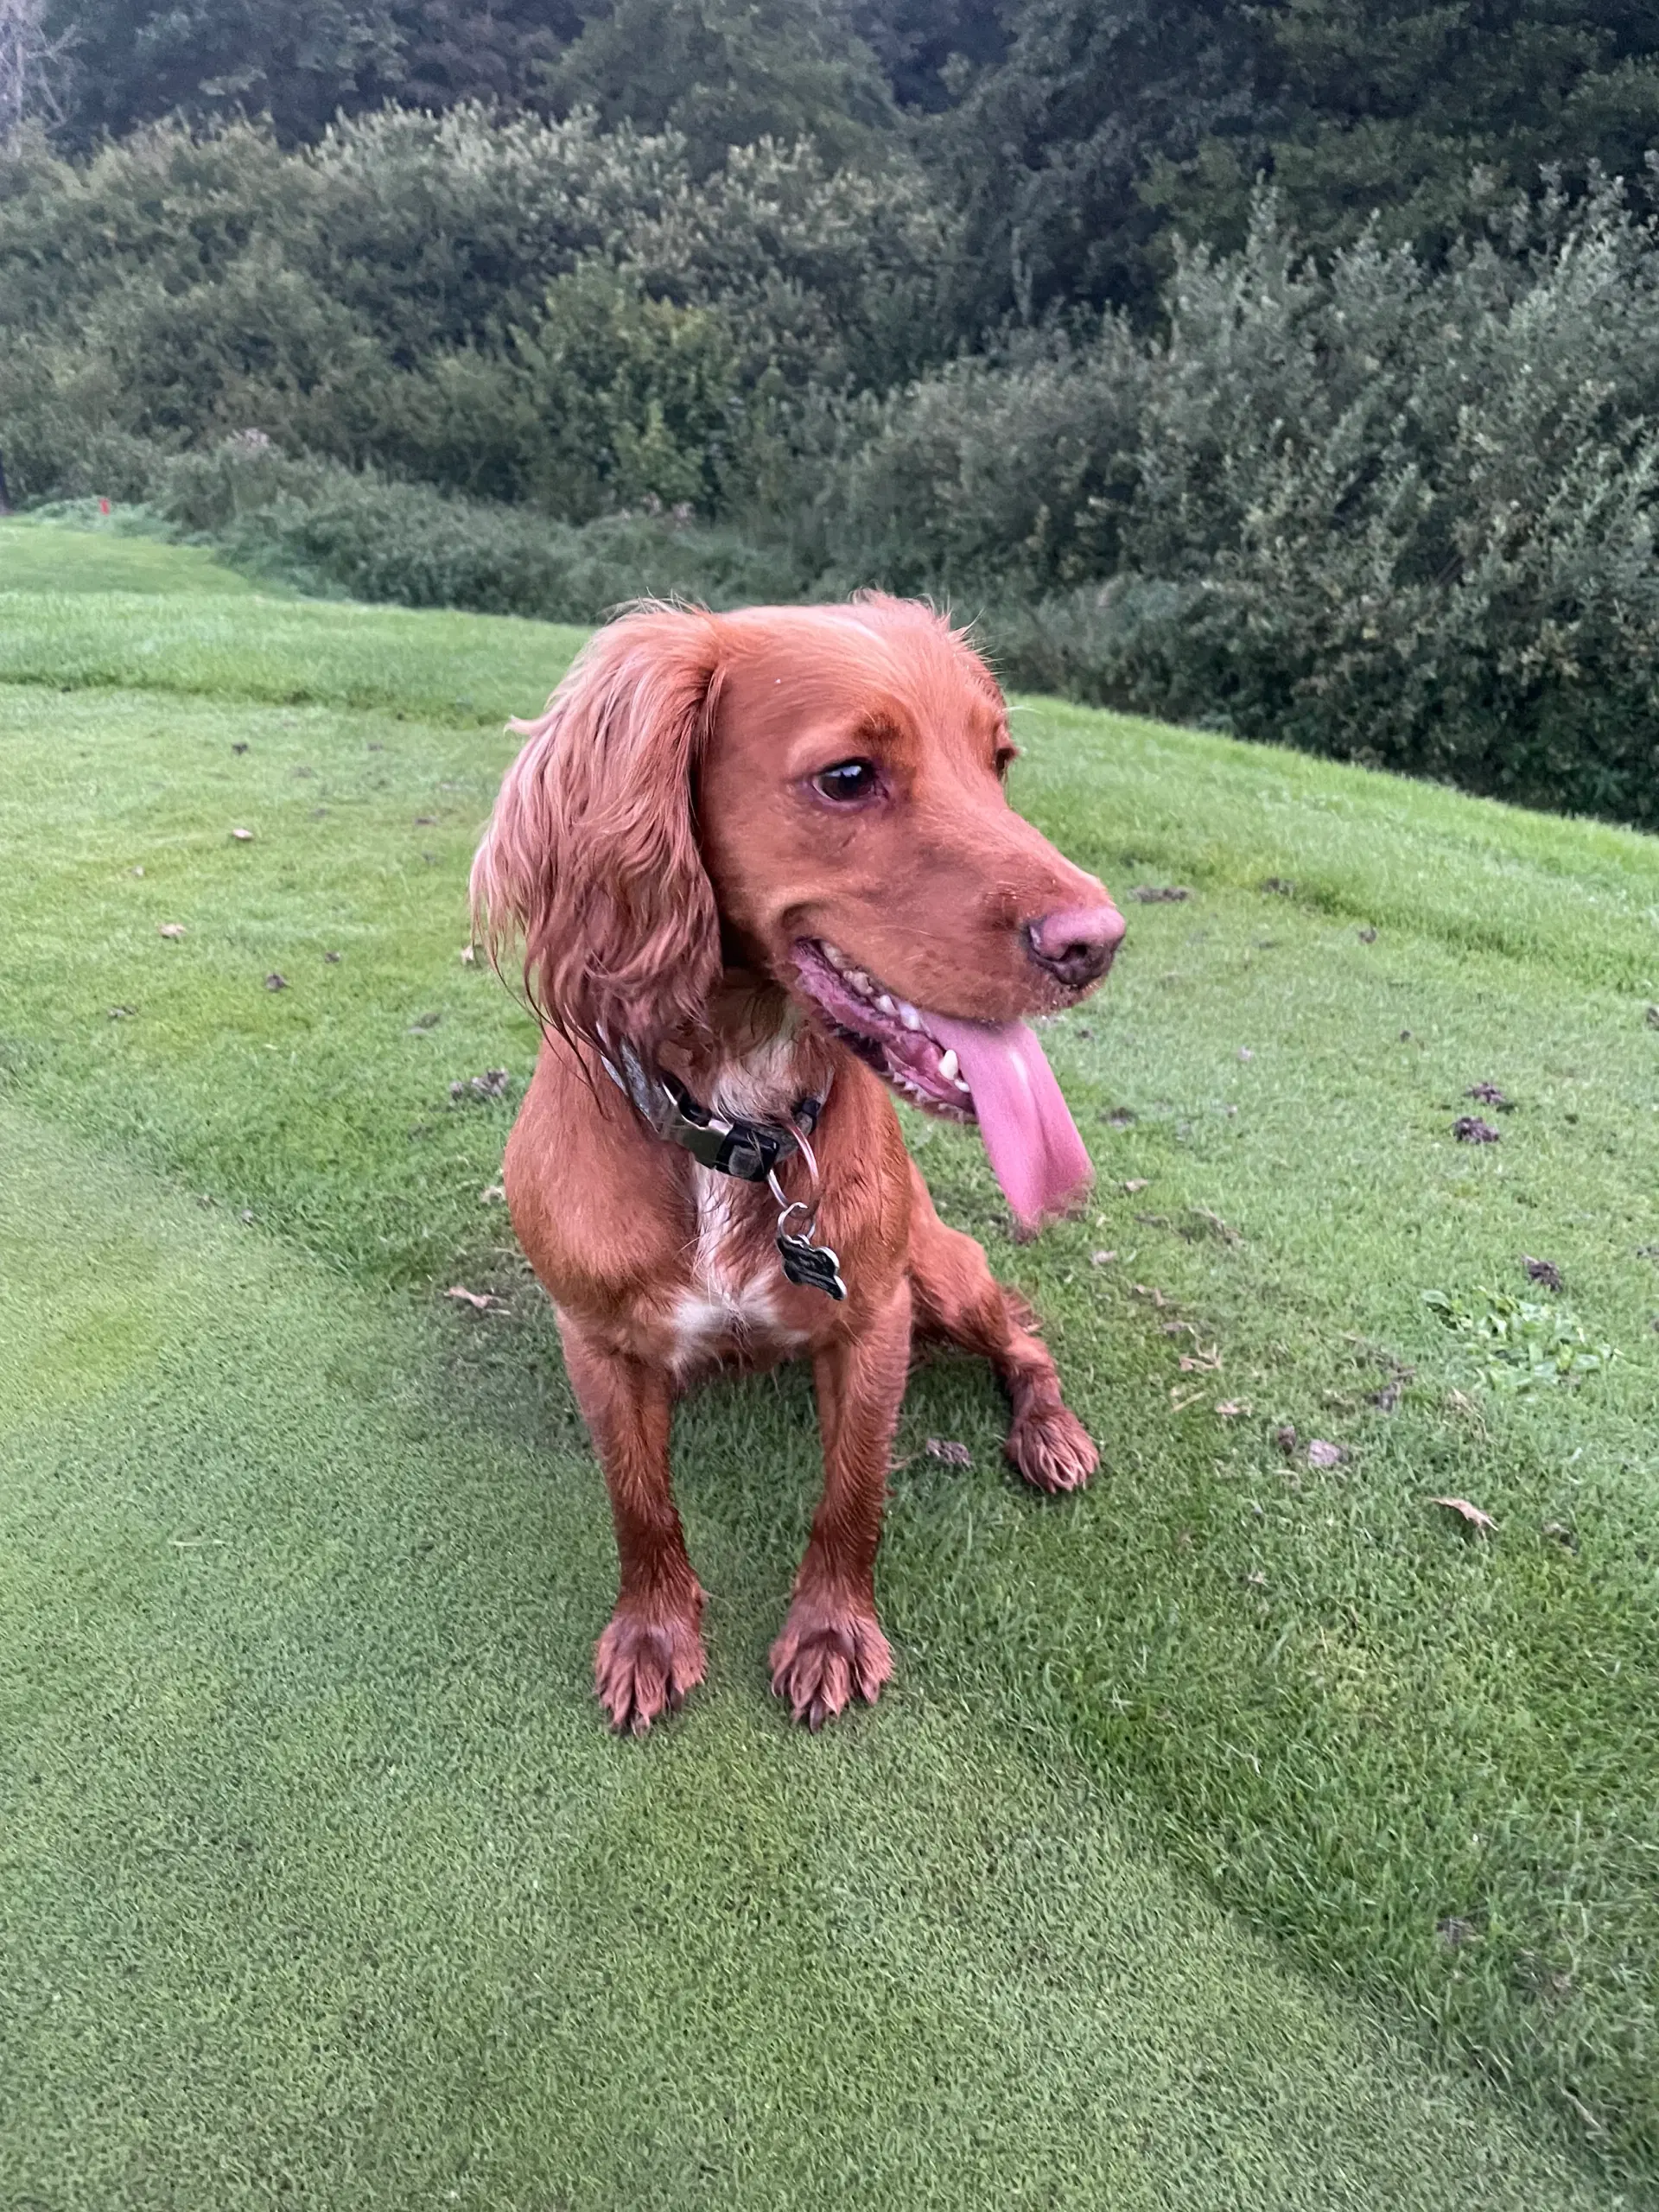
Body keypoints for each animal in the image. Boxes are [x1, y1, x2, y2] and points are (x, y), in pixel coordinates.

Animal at [480, 597, 1132, 1734]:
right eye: (848, 776)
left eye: (998, 762)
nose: (1098, 942)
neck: (742, 1129)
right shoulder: (596, 1341)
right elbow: (639, 1504)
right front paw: (654, 1633)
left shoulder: (875, 1322)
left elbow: (851, 1499)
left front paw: (832, 1635)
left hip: (942, 1273)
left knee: (1025, 1335)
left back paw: (1050, 1431)